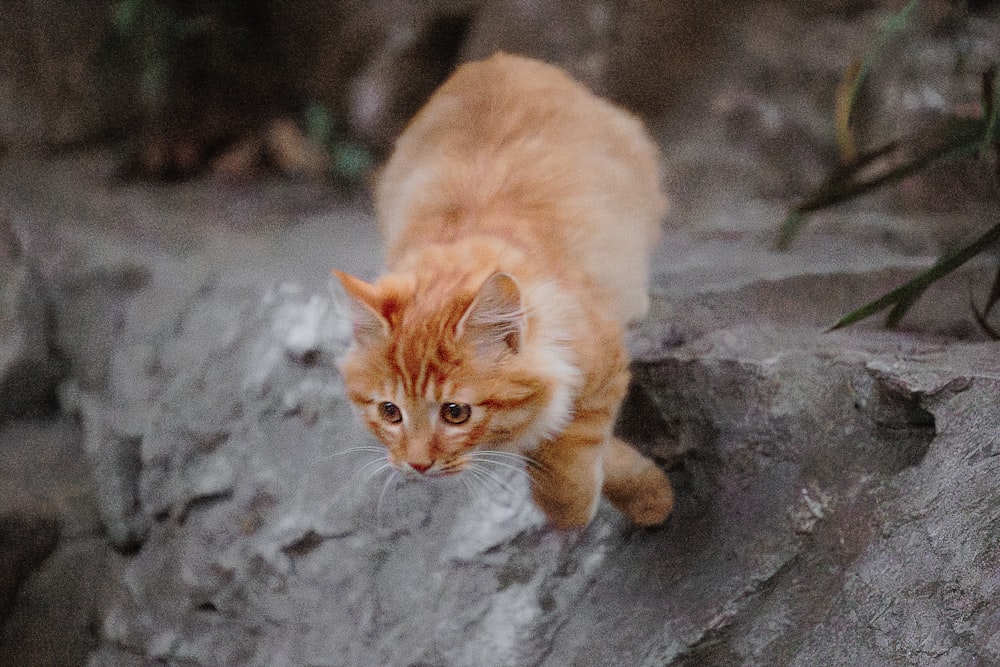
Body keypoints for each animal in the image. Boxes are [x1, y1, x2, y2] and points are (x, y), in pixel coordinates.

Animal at [334, 53, 672, 528]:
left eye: (455, 413)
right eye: (390, 412)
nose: (417, 465)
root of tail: (494, 60)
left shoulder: (601, 358)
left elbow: (571, 443)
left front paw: (627, 497)